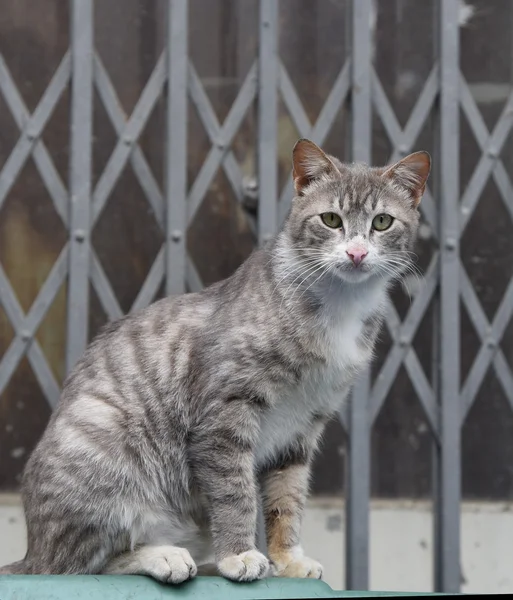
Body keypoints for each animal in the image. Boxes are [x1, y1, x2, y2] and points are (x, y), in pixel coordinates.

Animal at [0, 139, 428, 580]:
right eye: (330, 219)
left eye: (382, 222)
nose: (357, 253)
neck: (339, 305)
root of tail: (33, 550)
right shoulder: (224, 411)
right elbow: (235, 490)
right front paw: (239, 553)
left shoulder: (302, 428)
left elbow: (287, 499)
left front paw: (287, 557)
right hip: (103, 448)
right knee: (82, 565)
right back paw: (163, 555)